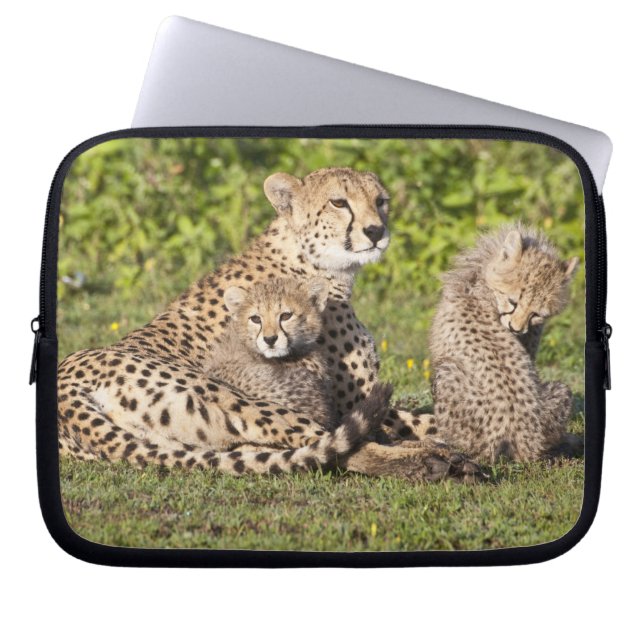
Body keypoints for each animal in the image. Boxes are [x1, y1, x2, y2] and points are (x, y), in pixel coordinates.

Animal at [58, 167, 479, 480]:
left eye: (381, 201)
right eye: (339, 202)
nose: (376, 231)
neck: (311, 262)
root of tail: (67, 385)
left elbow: (436, 418)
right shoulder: (347, 399)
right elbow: (415, 424)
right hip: (237, 397)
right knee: (337, 448)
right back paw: (434, 462)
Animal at [427, 224, 580, 462]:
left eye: (536, 314)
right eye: (513, 301)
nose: (516, 329)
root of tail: (522, 439)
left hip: (447, 372)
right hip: (560, 390)